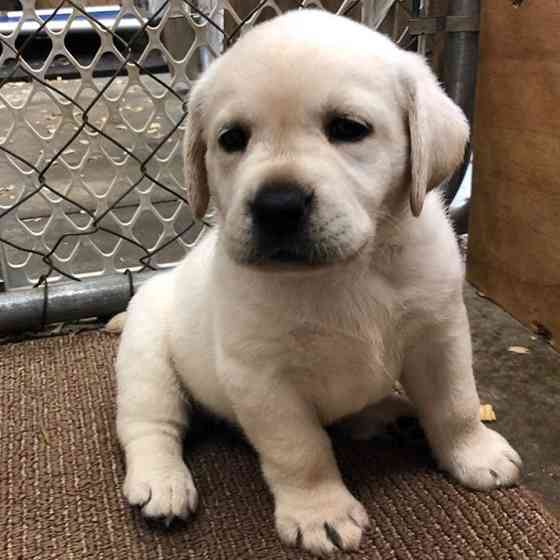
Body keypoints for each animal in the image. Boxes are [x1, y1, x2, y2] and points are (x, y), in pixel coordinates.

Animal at [116, 10, 524, 556]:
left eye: (349, 129)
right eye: (231, 139)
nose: (277, 206)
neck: (348, 270)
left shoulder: (440, 335)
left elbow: (456, 402)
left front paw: (474, 453)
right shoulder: (261, 377)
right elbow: (301, 449)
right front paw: (320, 512)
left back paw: (383, 413)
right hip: (147, 359)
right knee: (150, 424)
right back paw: (163, 483)